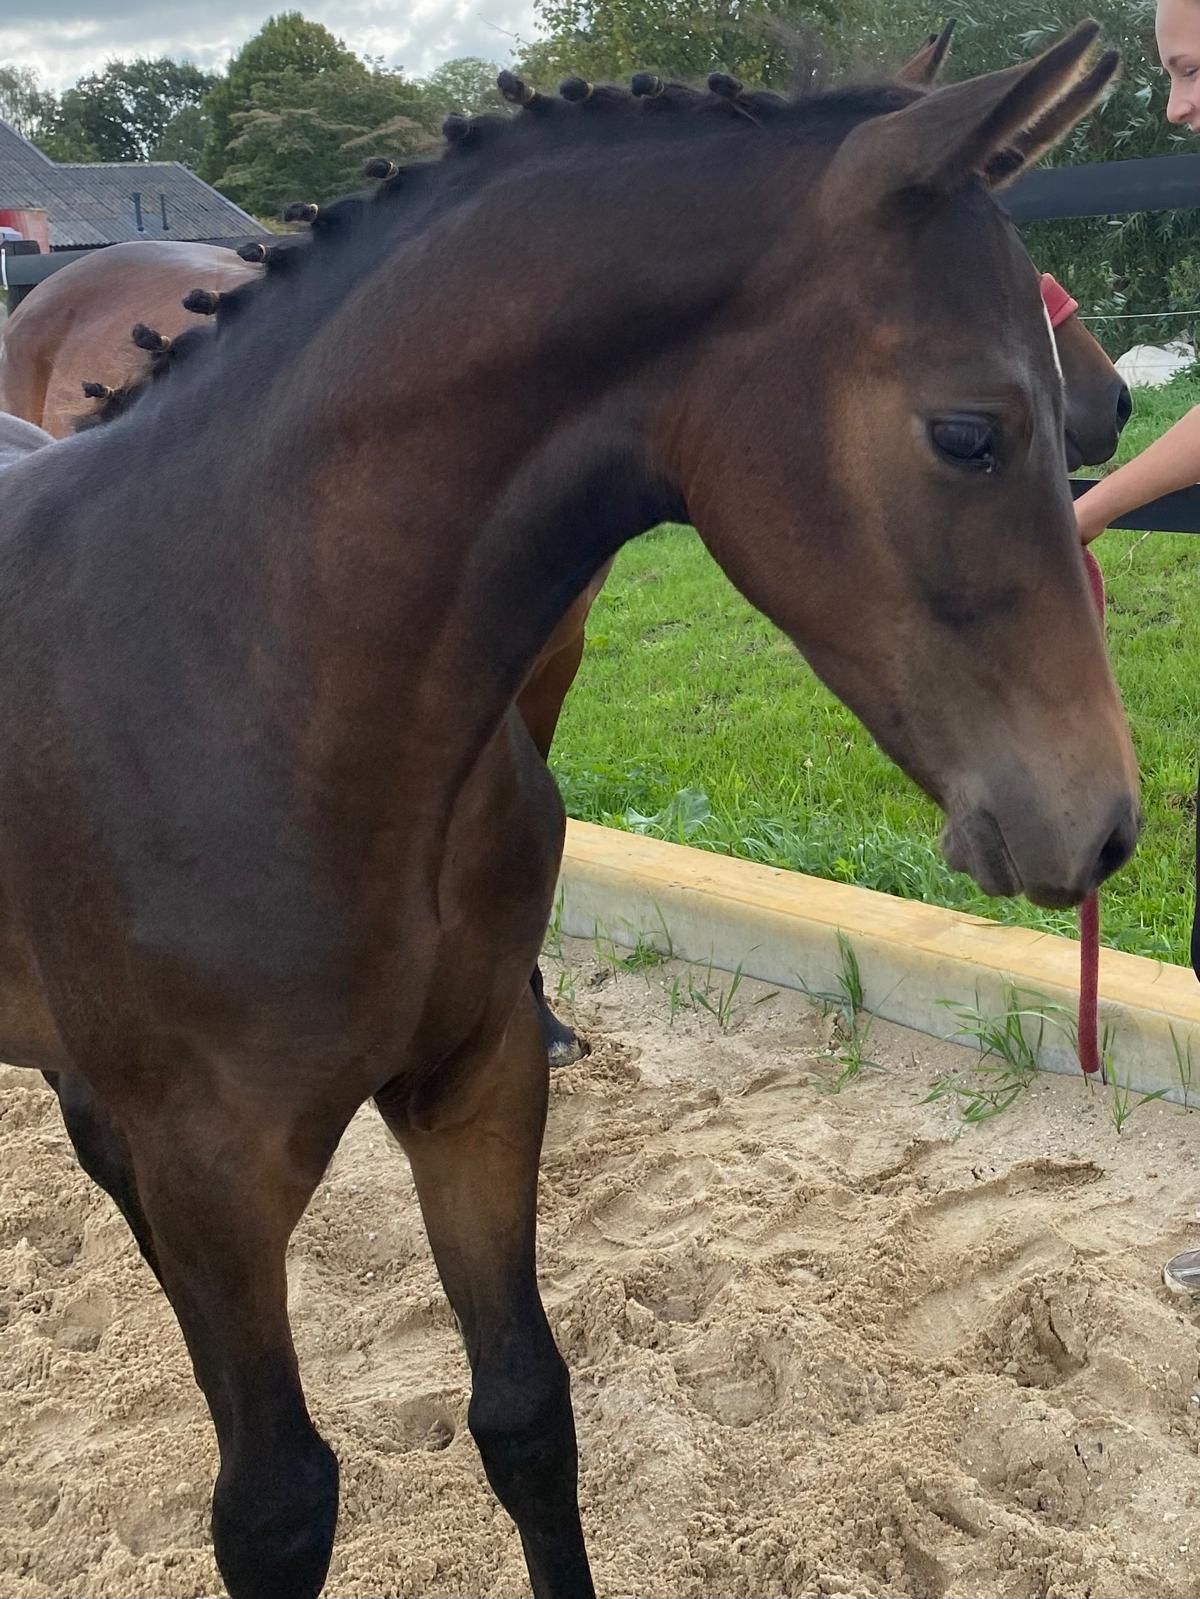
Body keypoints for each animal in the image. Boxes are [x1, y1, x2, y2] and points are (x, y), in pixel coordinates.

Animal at [0, 26, 1138, 1598]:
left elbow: (527, 1413)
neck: (244, 667)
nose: (1103, 824)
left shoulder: (475, 1083)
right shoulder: (215, 1170)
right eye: (968, 431)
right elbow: (275, 1506)